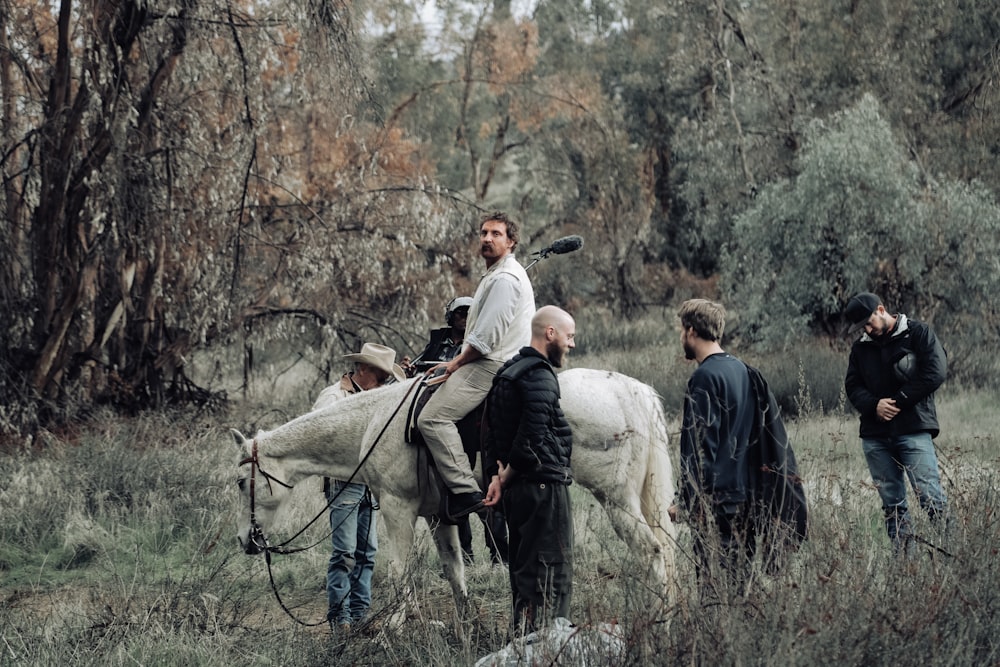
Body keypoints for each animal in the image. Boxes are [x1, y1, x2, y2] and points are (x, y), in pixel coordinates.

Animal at [230, 366, 676, 620]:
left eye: (240, 482)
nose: (245, 540)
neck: (372, 423)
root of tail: (631, 393)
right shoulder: (440, 516)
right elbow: (454, 571)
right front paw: (466, 626)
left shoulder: (397, 508)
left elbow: (399, 572)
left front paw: (393, 627)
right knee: (665, 551)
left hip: (616, 499)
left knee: (653, 552)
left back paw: (656, 618)